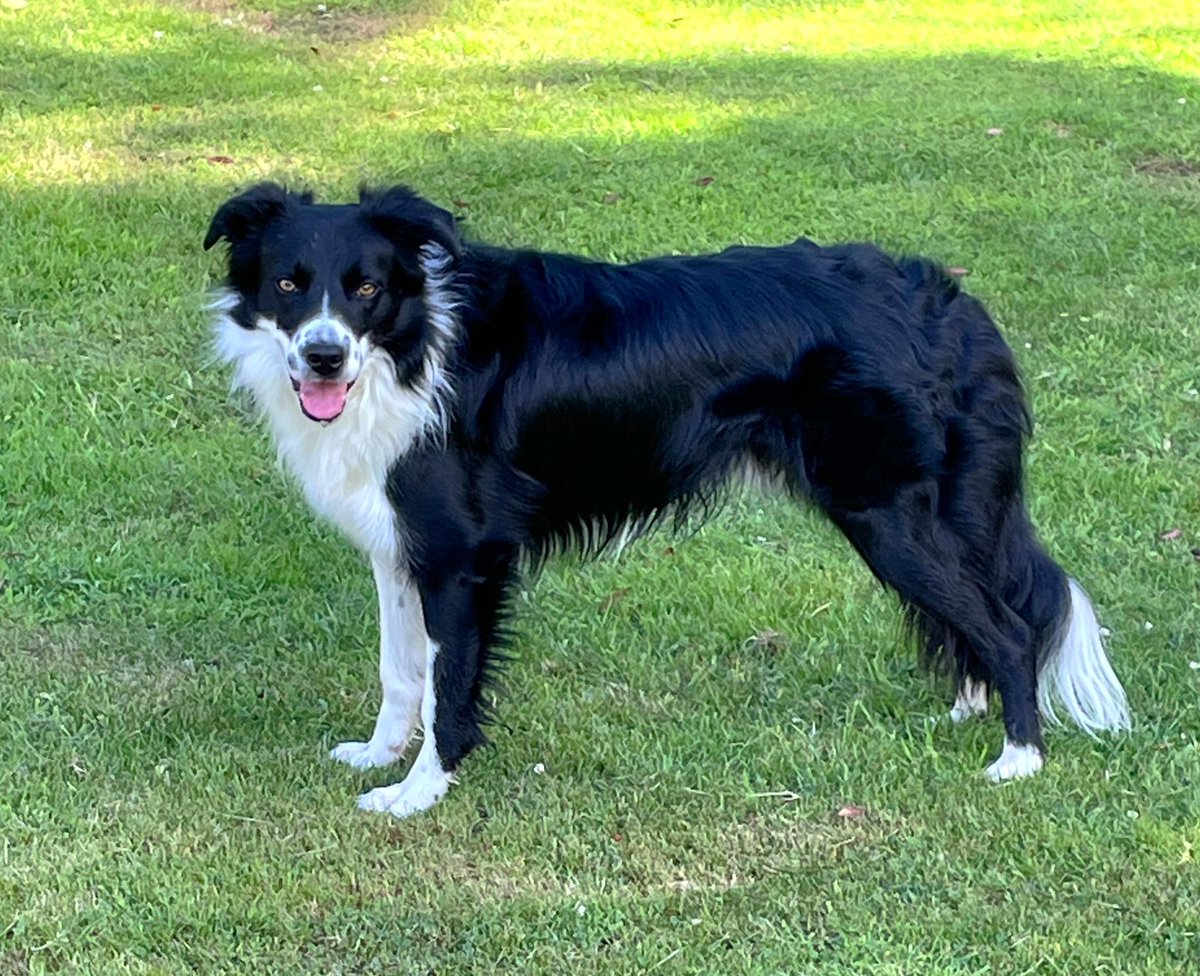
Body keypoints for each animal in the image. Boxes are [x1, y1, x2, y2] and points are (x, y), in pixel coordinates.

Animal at [201, 181, 1128, 816]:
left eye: (366, 288)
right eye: (289, 285)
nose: (323, 358)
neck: (412, 342)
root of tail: (952, 303)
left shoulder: (462, 558)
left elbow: (448, 681)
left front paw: (420, 792)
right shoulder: (403, 547)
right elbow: (402, 672)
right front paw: (377, 755)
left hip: (888, 515)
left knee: (1008, 627)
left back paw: (1019, 758)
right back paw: (971, 710)